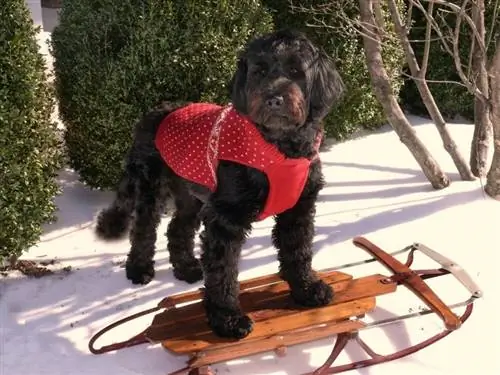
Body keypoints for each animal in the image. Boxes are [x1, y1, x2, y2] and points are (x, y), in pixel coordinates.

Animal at [94, 29, 344, 340]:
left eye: (296, 71)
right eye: (259, 72)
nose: (274, 99)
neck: (277, 148)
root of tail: (154, 112)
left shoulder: (298, 209)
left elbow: (298, 251)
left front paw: (307, 290)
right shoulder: (226, 219)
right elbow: (223, 272)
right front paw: (227, 319)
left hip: (191, 193)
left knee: (177, 228)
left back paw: (187, 268)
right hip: (150, 186)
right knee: (143, 228)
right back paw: (139, 269)